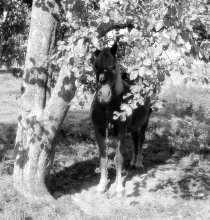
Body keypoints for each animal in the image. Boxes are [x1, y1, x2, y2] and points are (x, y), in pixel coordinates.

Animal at [90, 41, 153, 196]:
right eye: (96, 66)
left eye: (113, 66)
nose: (104, 95)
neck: (108, 107)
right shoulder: (99, 130)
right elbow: (103, 157)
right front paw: (102, 185)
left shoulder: (121, 131)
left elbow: (118, 158)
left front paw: (119, 187)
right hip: (134, 127)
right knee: (135, 140)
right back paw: (133, 162)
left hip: (144, 123)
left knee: (141, 140)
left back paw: (139, 162)